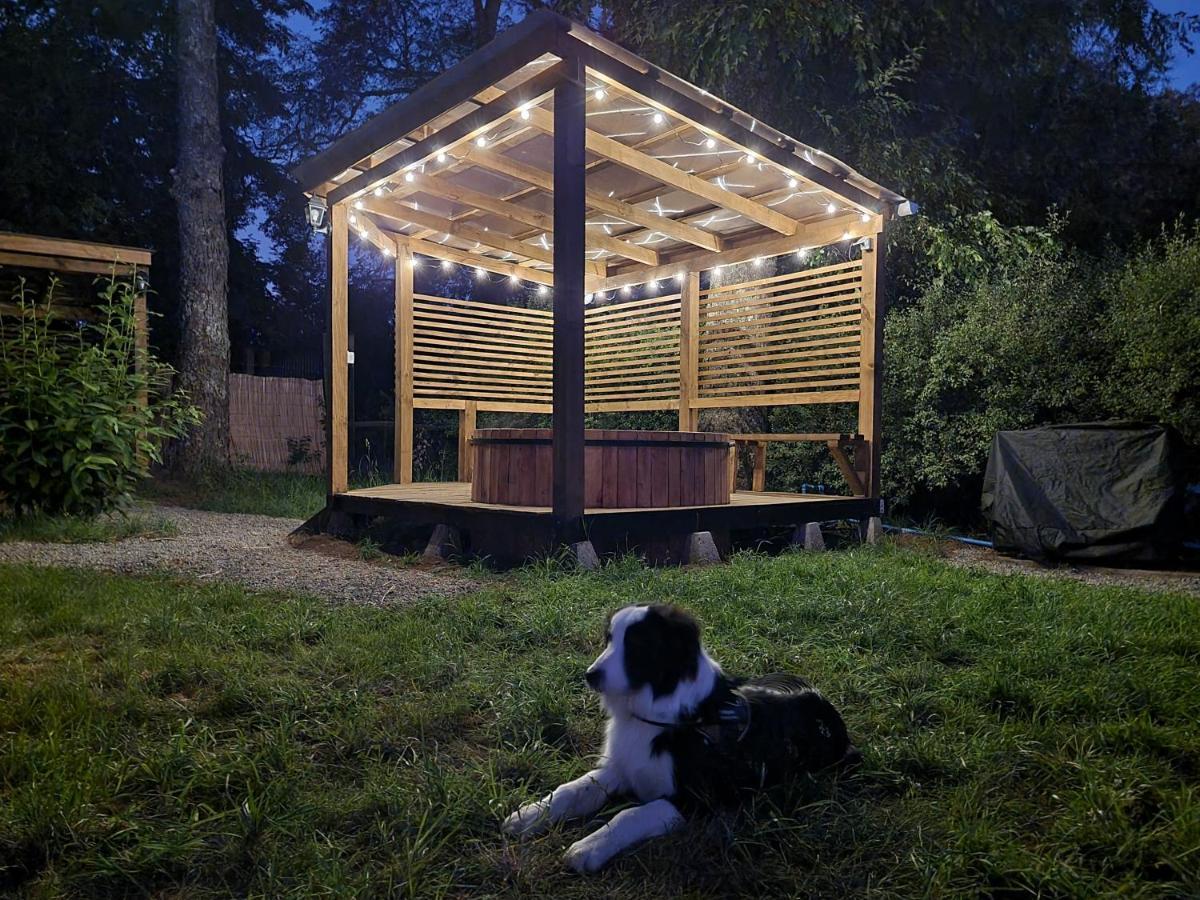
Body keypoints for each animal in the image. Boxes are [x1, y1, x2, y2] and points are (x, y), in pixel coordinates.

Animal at [501, 607, 859, 873]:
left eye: (637, 644)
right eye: (609, 640)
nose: (590, 676)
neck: (657, 713)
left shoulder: (697, 800)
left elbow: (633, 813)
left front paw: (588, 847)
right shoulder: (623, 766)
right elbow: (572, 790)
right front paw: (530, 814)